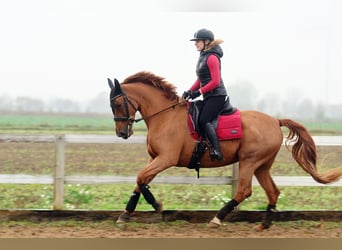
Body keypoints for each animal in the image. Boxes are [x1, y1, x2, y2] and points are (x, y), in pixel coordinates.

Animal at [107, 71, 342, 229]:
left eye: (117, 103)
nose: (121, 133)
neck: (165, 116)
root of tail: (275, 121)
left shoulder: (166, 158)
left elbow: (141, 178)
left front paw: (157, 205)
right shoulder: (154, 158)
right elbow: (140, 181)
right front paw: (126, 214)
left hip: (249, 161)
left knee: (244, 190)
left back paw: (217, 218)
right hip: (262, 166)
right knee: (272, 191)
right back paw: (264, 224)